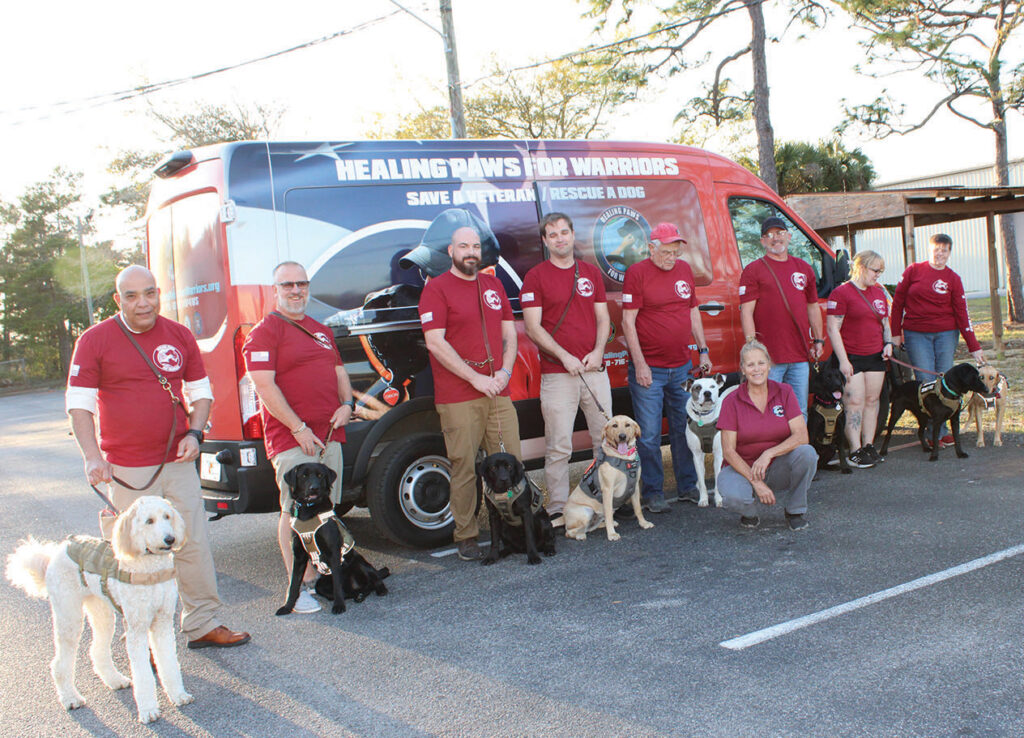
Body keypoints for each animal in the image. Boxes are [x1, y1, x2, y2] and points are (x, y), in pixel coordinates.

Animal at [7, 495, 193, 720]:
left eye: (167, 516)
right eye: (149, 521)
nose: (170, 539)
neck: (149, 567)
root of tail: (57, 552)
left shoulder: (162, 622)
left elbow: (169, 661)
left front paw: (178, 695)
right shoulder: (137, 628)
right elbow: (143, 673)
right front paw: (148, 710)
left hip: (101, 612)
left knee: (97, 650)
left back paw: (115, 680)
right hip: (69, 615)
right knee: (60, 663)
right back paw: (70, 698)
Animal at [276, 462, 387, 614]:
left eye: (320, 475)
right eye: (304, 475)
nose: (314, 488)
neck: (308, 511)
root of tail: (355, 585)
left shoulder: (333, 552)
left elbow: (337, 583)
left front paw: (339, 606)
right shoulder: (298, 556)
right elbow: (294, 584)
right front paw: (287, 607)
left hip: (360, 563)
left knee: (375, 579)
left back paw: (380, 589)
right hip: (321, 585)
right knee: (355, 591)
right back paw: (358, 595)